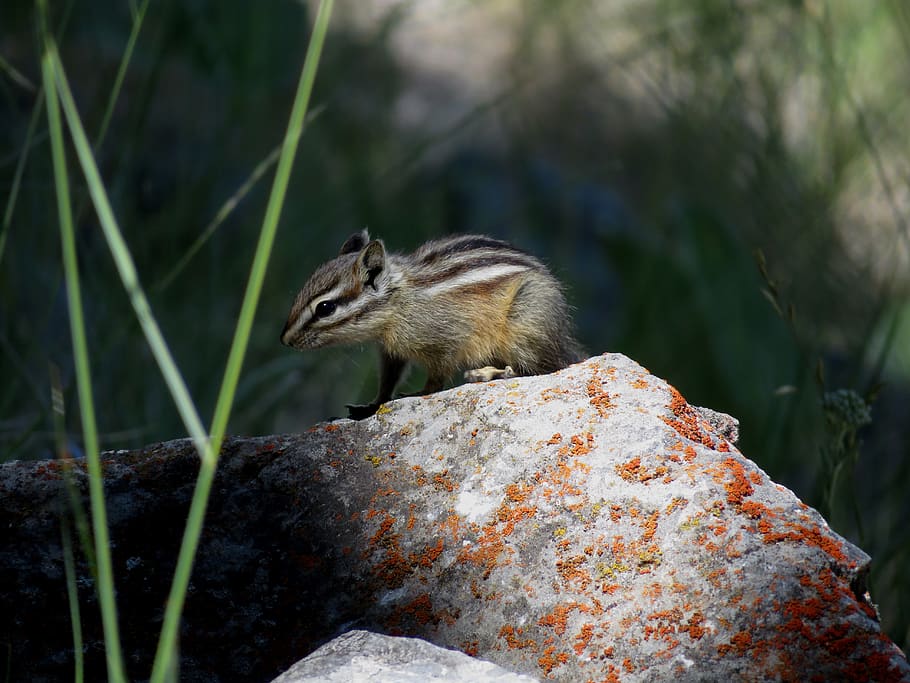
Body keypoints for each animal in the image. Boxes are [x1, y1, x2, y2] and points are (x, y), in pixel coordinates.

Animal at [280, 230, 584, 419]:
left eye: (325, 308)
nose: (285, 340)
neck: (400, 301)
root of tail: (563, 339)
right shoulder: (390, 351)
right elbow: (388, 379)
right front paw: (372, 405)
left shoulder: (448, 340)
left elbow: (437, 376)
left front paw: (419, 393)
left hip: (525, 321)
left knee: (542, 367)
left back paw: (491, 373)